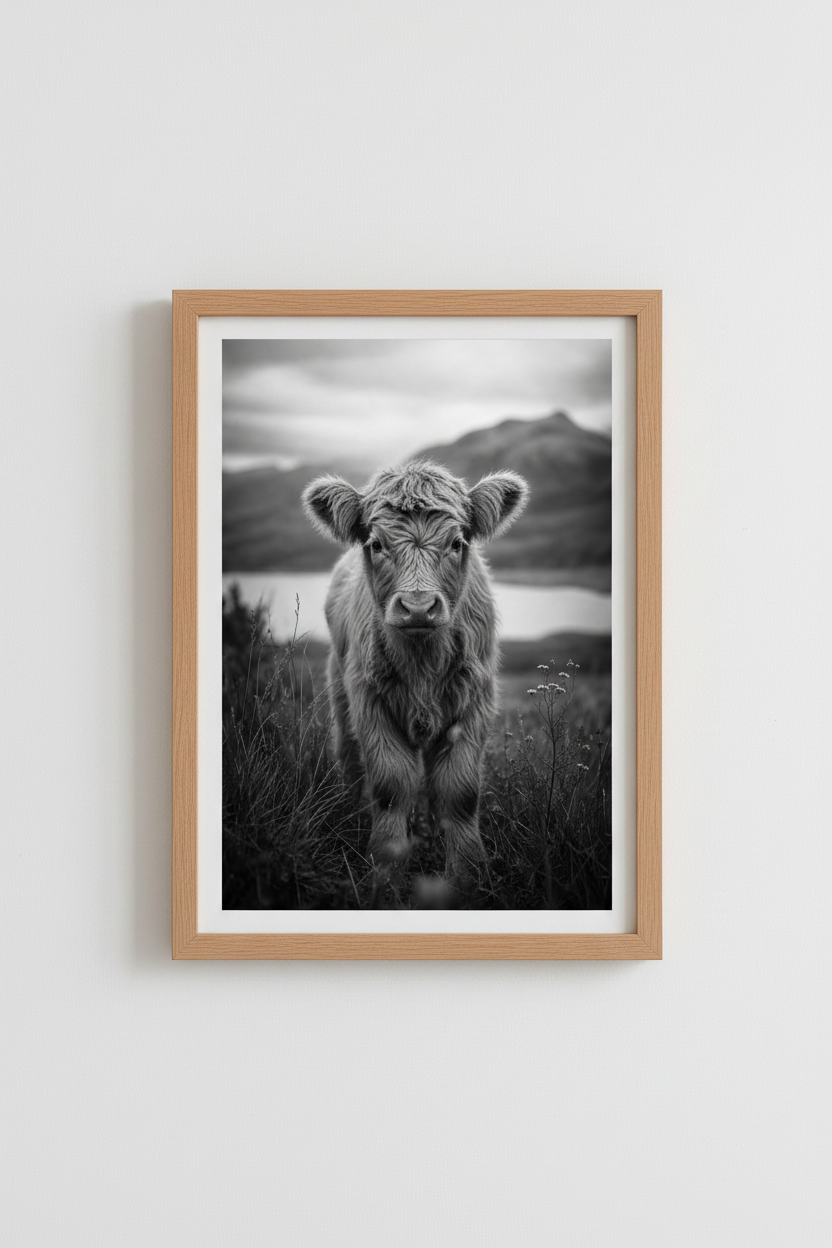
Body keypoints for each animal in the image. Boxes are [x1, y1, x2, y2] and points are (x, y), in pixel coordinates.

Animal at [302, 459, 529, 877]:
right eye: (376, 544)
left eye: (456, 543)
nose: (419, 607)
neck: (423, 659)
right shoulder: (370, 700)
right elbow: (391, 786)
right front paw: (385, 865)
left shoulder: (475, 701)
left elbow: (459, 790)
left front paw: (468, 871)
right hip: (339, 689)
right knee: (349, 755)